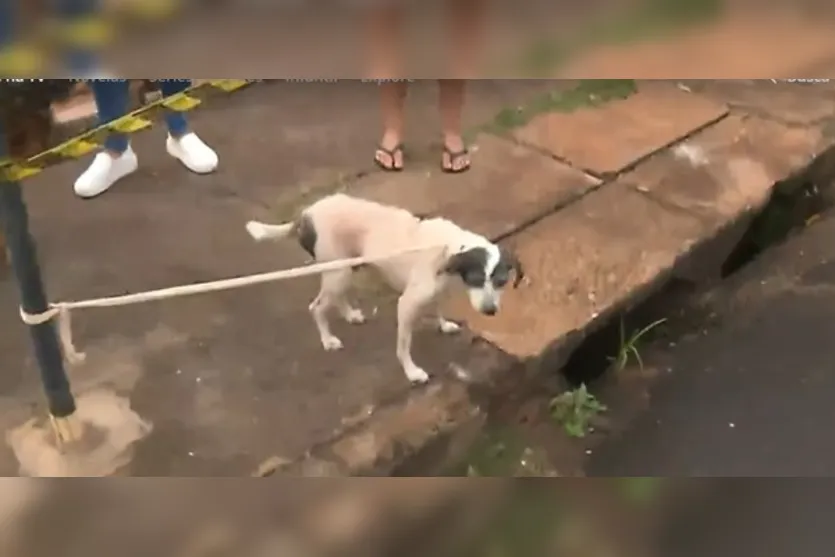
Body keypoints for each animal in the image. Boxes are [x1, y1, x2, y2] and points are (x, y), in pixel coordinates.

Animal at [245, 194, 524, 382]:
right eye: (477, 279)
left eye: (501, 281)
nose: (490, 311)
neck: (450, 247)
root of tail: (307, 213)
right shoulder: (407, 305)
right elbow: (403, 346)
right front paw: (412, 372)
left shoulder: (436, 292)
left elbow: (437, 308)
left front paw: (444, 325)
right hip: (338, 272)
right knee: (316, 307)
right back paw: (328, 339)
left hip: (345, 270)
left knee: (335, 298)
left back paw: (350, 314)